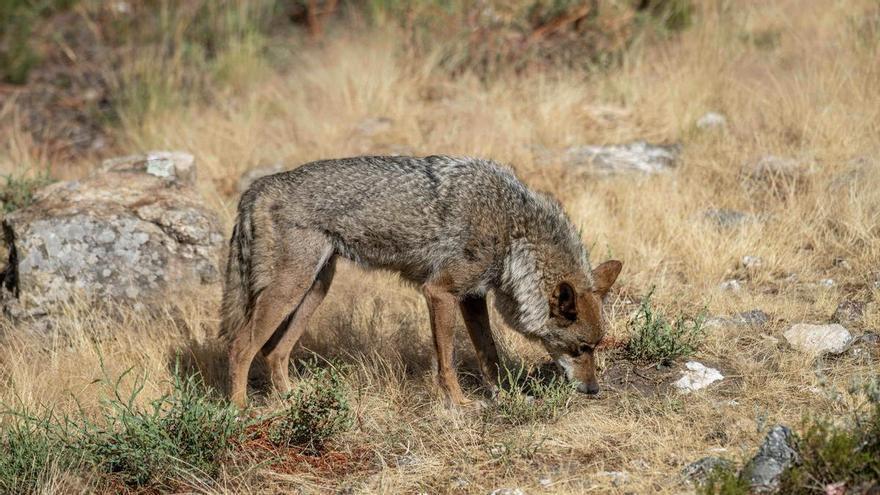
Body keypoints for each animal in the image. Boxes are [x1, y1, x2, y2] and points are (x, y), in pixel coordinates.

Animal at [220, 155, 622, 408]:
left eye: (596, 347)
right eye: (580, 348)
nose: (593, 390)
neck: (512, 230)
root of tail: (257, 187)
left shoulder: (471, 297)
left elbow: (489, 354)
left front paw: (505, 396)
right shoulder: (440, 292)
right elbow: (447, 361)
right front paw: (459, 404)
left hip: (315, 288)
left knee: (274, 352)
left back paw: (293, 401)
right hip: (291, 289)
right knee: (241, 347)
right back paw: (241, 412)